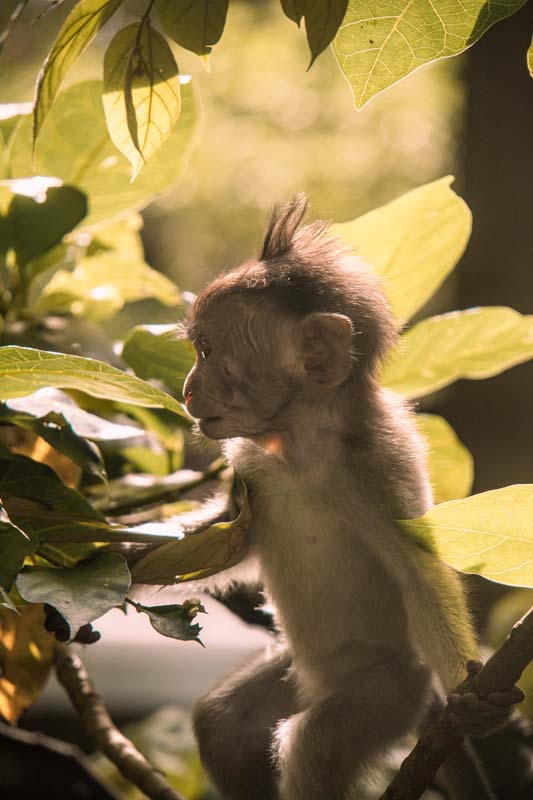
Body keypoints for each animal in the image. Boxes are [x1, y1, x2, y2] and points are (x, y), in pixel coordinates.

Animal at [179, 195, 523, 800]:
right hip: (293, 672)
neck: (301, 445)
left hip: (392, 690)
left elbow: (419, 572)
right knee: (221, 722)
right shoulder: (249, 463)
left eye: (207, 350)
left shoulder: (381, 467)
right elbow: (225, 539)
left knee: (315, 746)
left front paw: (479, 708)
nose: (188, 391)